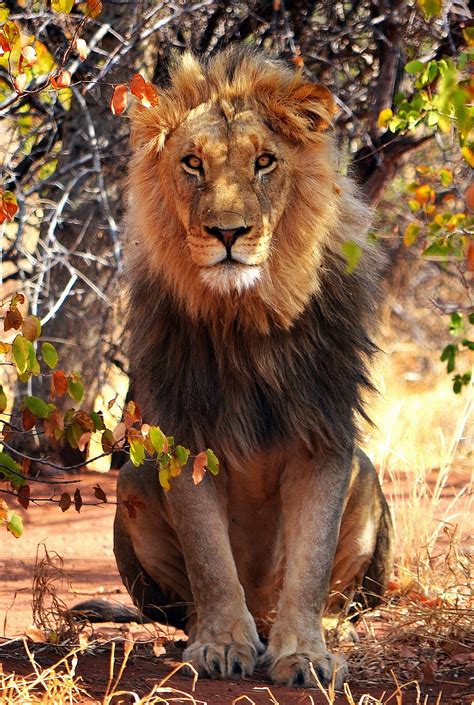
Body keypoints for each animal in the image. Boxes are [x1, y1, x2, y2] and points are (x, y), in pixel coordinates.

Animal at [94, 48, 394, 688]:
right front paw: (221, 644)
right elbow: (210, 559)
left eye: (264, 162)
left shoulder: (324, 432)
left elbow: (310, 562)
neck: (246, 315)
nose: (227, 233)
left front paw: (305, 656)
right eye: (191, 163)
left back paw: (331, 630)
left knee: (338, 598)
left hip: (366, 475)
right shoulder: (184, 434)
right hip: (134, 480)